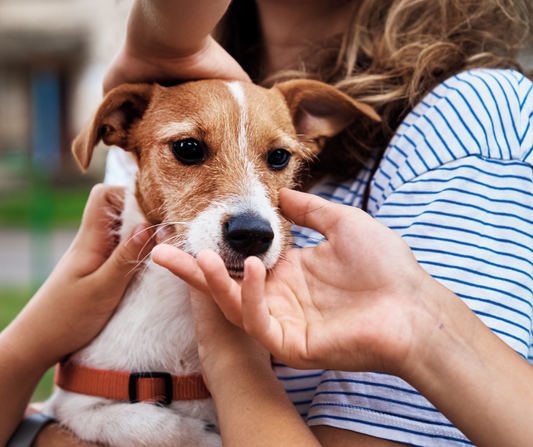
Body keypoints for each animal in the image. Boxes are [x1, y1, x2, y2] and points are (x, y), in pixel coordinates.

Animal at [42, 79, 378, 446]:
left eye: (279, 156)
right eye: (188, 148)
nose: (252, 234)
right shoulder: (76, 403)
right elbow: (150, 426)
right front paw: (202, 435)